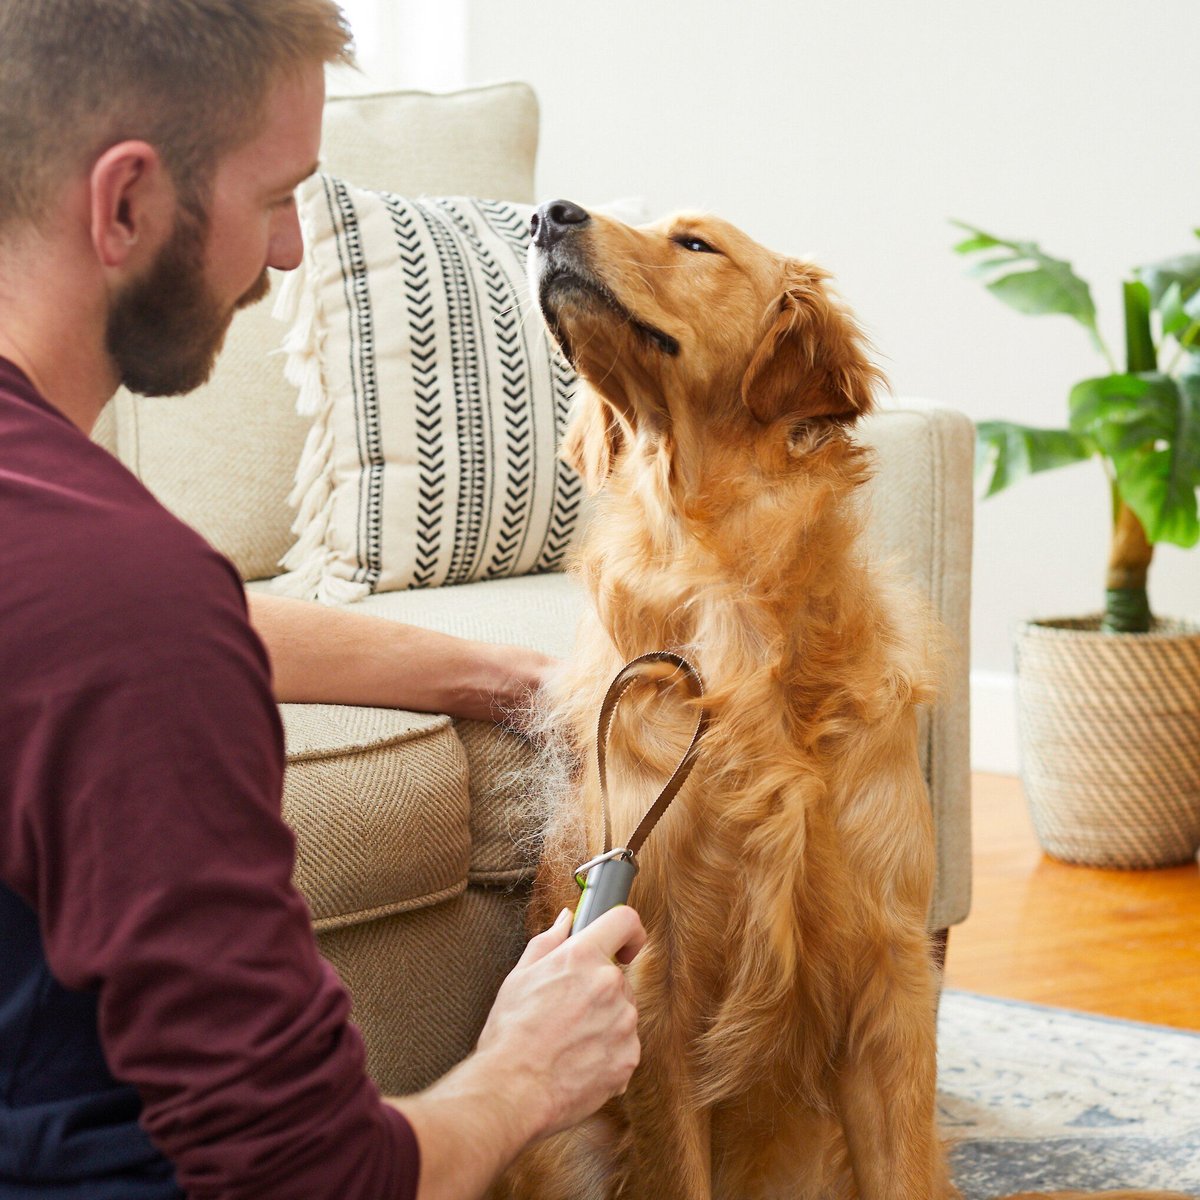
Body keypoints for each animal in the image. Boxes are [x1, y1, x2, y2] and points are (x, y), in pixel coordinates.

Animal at [492, 201, 1185, 1195]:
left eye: (695, 243)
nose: (547, 215)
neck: (728, 589)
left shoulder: (888, 975)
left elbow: (902, 1163)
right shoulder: (655, 981)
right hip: (563, 1149)